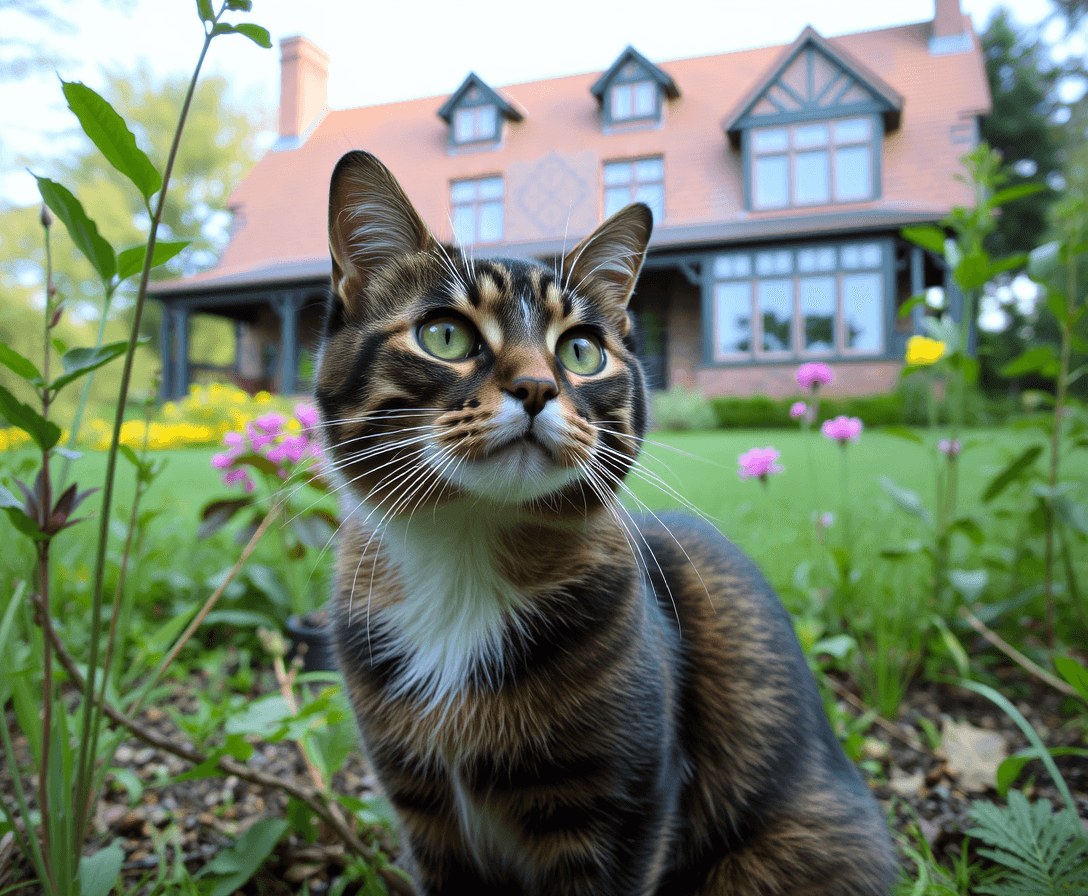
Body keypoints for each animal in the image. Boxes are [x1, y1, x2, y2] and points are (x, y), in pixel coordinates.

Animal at [315, 150, 892, 891]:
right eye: (445, 335)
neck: (468, 559)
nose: (537, 387)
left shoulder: (626, 802)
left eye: (582, 350)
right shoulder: (423, 811)